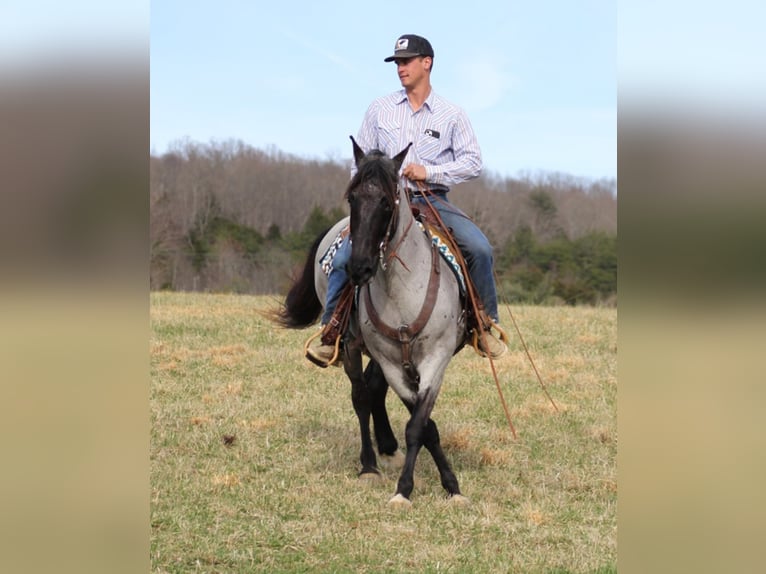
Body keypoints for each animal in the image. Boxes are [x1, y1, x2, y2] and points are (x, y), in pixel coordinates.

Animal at [282, 137, 472, 506]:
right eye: (352, 198)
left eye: (386, 201)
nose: (360, 267)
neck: (402, 290)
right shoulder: (390, 360)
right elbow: (422, 425)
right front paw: (406, 489)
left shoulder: (435, 358)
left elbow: (419, 424)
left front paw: (450, 487)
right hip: (353, 347)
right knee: (360, 396)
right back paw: (369, 464)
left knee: (373, 389)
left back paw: (387, 446)